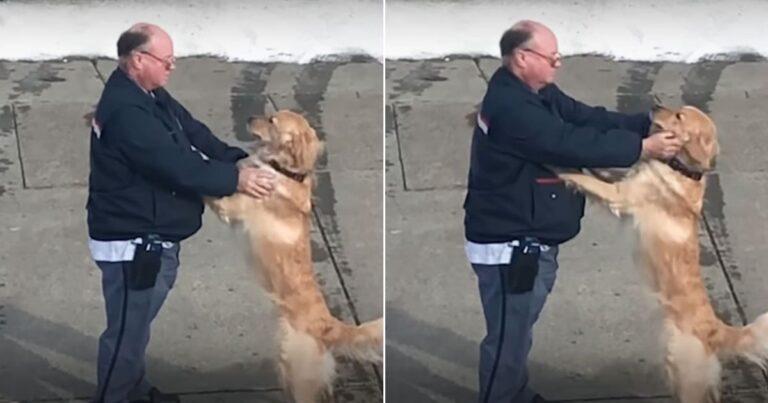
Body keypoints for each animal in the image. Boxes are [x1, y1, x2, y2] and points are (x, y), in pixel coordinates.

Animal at [206, 110, 382, 403]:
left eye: (272, 121)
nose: (250, 117)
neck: (282, 170)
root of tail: (328, 326)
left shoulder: (228, 206)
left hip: (298, 372)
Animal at [556, 105, 768, 402]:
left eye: (679, 116)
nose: (653, 107)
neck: (680, 169)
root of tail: (714, 331)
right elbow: (594, 171)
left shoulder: (620, 195)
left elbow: (581, 177)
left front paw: (557, 168)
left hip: (686, 376)